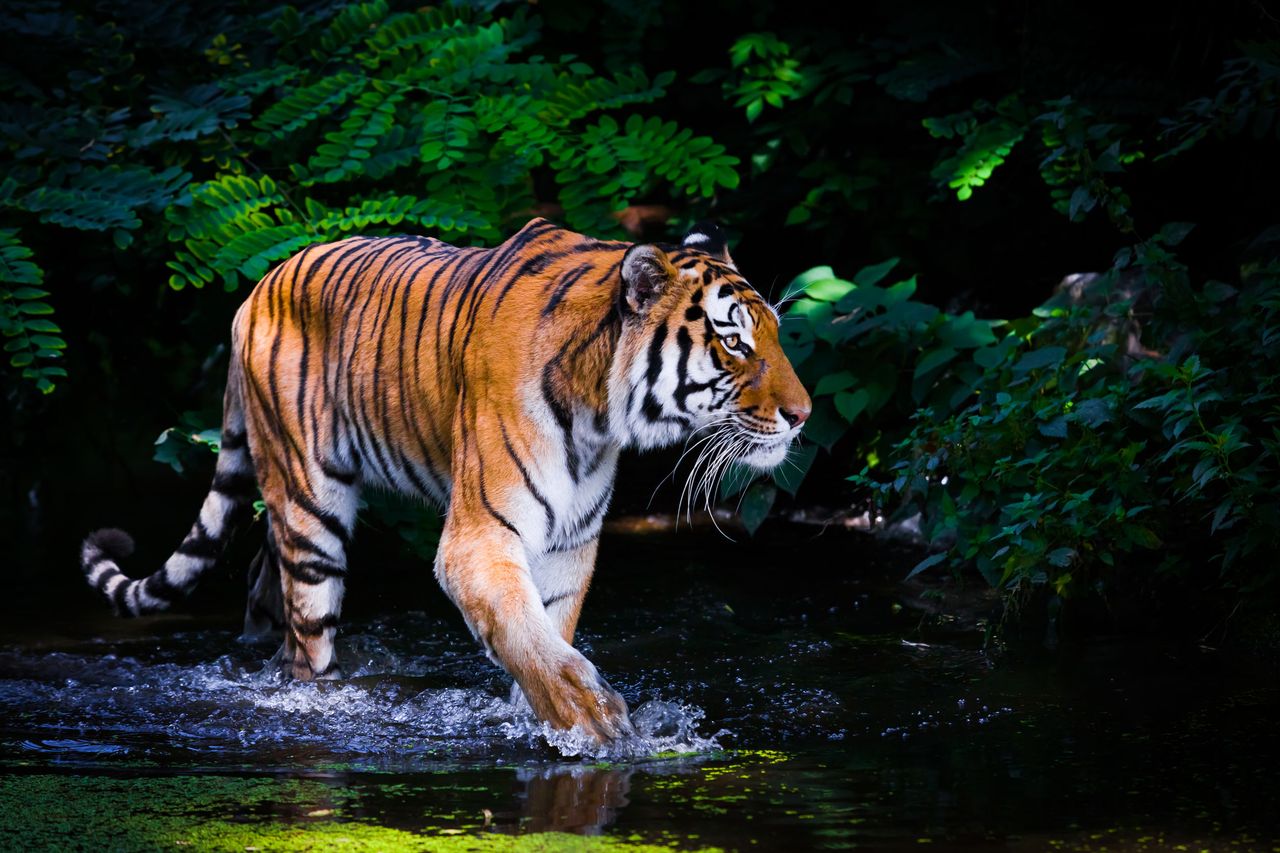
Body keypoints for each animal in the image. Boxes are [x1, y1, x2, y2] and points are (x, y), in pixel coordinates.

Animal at [80, 219, 808, 737]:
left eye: (773, 333)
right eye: (734, 343)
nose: (802, 416)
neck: (599, 410)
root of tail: (255, 289)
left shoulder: (570, 543)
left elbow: (544, 632)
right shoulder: (479, 538)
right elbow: (530, 639)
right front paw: (592, 717)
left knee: (267, 586)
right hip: (310, 506)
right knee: (308, 638)